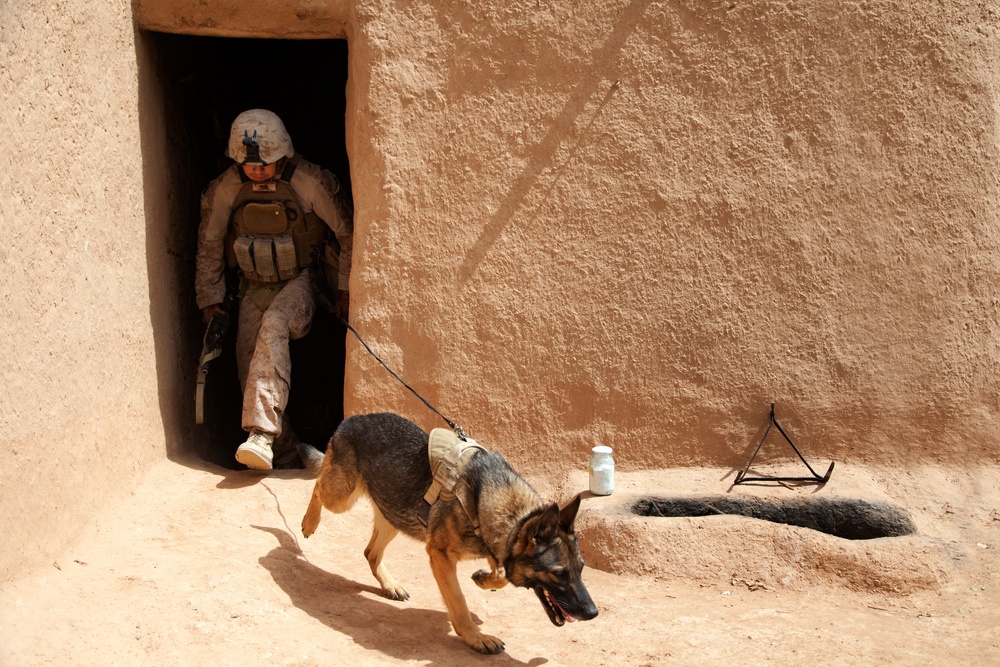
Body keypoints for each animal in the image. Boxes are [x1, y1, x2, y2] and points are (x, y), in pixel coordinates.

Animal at [296, 412, 592, 652]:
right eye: (559, 573)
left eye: (581, 568)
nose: (593, 613)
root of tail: (353, 418)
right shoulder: (440, 555)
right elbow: (459, 603)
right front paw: (476, 637)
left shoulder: (491, 543)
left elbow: (501, 575)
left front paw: (484, 580)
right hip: (342, 496)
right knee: (319, 485)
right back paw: (309, 521)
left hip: (393, 513)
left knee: (371, 552)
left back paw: (390, 585)